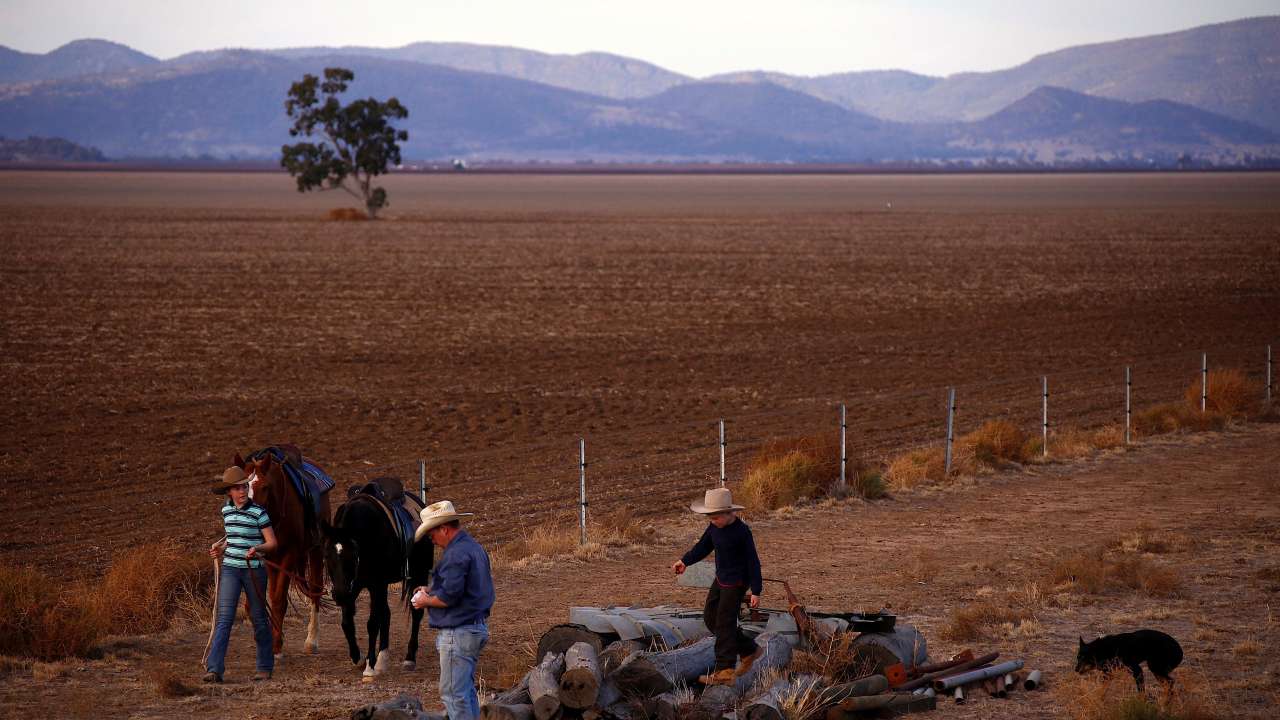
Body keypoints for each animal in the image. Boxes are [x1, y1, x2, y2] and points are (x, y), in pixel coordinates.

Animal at [232, 448, 330, 655]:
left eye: (264, 487)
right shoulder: (267, 557)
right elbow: (263, 597)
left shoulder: (289, 555)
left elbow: (278, 599)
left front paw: (276, 644)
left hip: (316, 549)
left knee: (315, 589)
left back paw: (312, 640)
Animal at [322, 476, 432, 676]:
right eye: (326, 556)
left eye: (353, 555)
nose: (339, 595)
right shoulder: (354, 586)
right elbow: (347, 621)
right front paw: (357, 656)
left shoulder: (375, 584)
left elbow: (372, 623)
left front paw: (369, 665)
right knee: (386, 613)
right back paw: (383, 658)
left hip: (418, 574)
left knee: (416, 613)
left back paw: (409, 658)